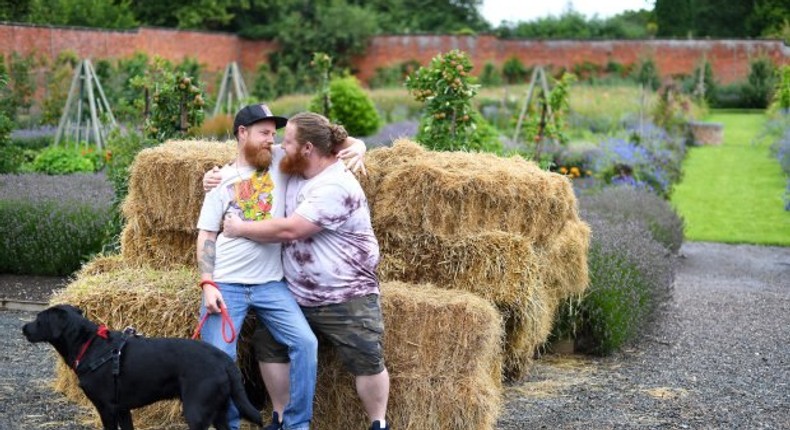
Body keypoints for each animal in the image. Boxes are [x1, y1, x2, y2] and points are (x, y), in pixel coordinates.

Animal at [20, 304, 262, 428]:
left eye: (39, 319)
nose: (23, 328)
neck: (88, 344)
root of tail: (223, 358)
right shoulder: (122, 409)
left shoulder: (106, 408)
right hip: (219, 410)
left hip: (196, 411)